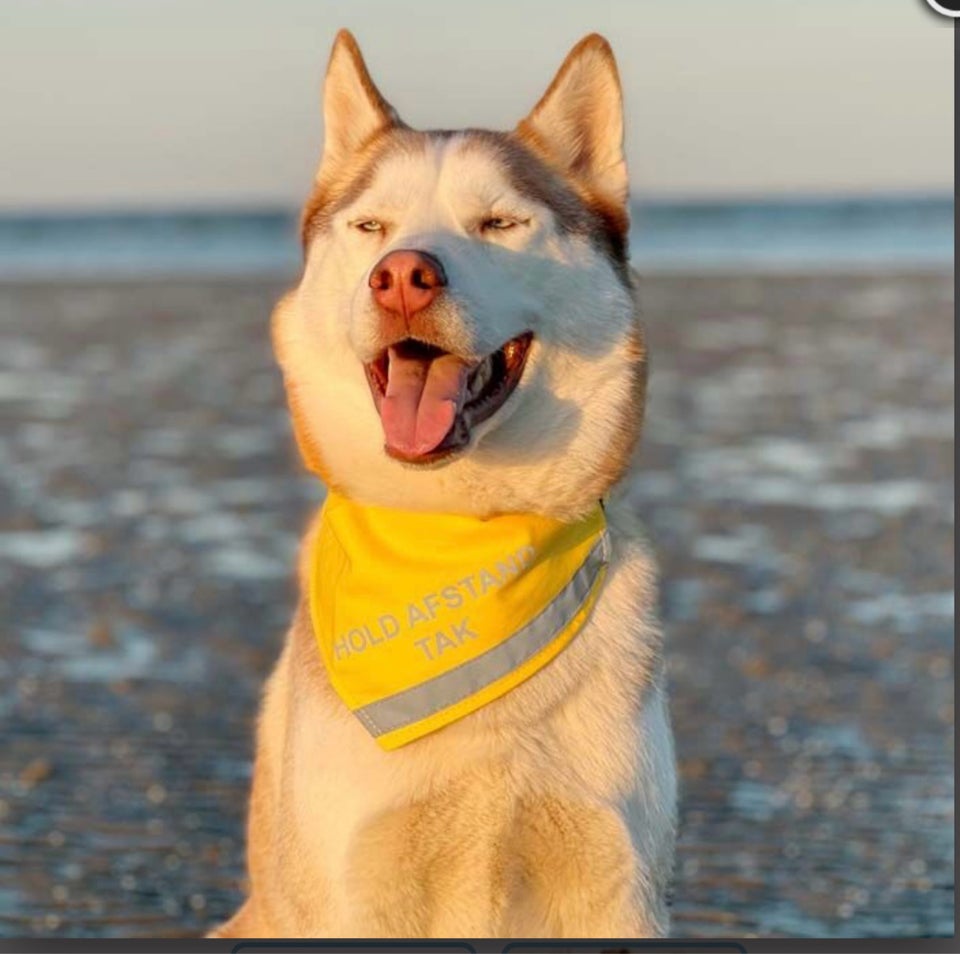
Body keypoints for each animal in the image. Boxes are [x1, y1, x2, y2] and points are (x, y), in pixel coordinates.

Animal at [212, 29, 676, 936]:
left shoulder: (616, 884)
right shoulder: (359, 892)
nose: (401, 276)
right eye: (371, 226)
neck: (459, 531)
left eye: (499, 222)